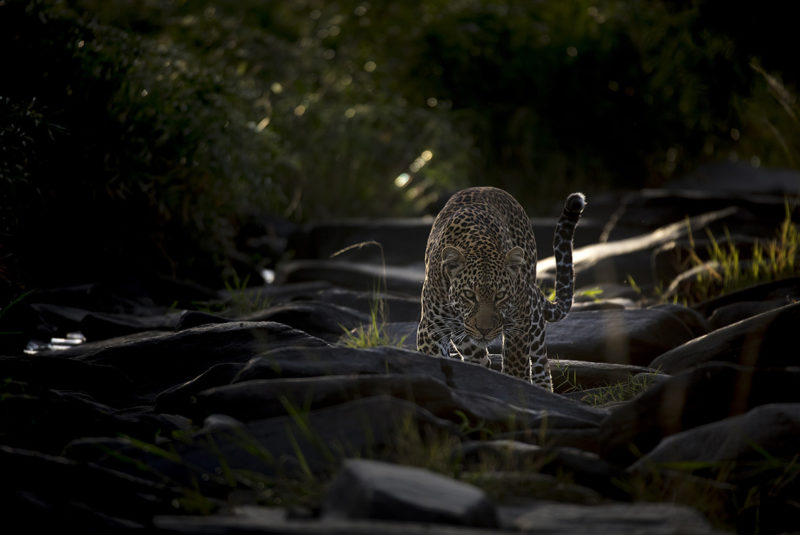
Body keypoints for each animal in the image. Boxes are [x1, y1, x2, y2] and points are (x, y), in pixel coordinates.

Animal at [416, 186, 584, 392]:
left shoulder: (520, 319)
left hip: (532, 308)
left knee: (540, 359)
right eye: (469, 295)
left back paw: (544, 388)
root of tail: (486, 187)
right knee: (480, 360)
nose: (484, 330)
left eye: (500, 295)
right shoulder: (431, 329)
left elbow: (516, 363)